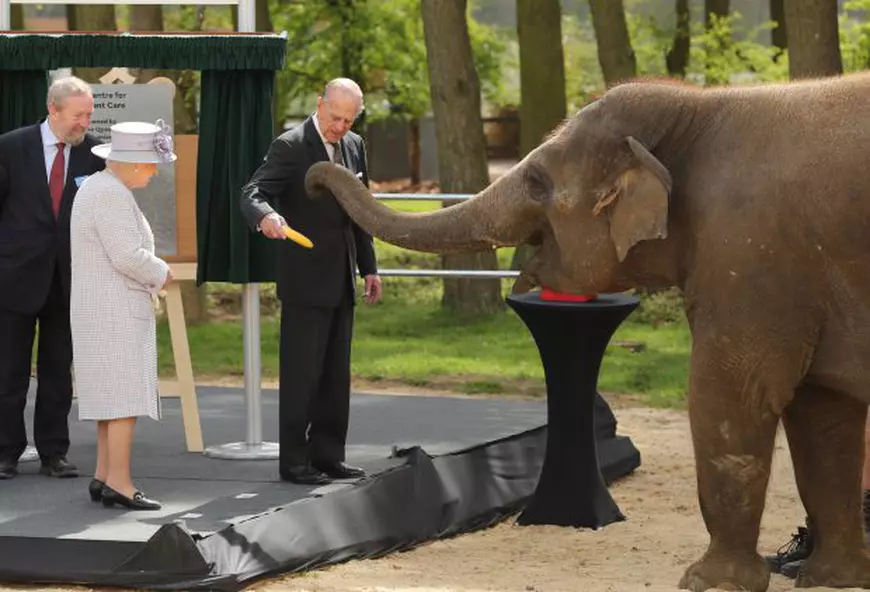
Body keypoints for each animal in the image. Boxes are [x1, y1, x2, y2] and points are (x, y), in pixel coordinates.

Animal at [304, 72, 870, 591]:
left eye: (537, 181)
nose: (311, 181)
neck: (701, 105)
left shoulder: (751, 261)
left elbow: (730, 397)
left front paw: (708, 583)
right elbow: (824, 417)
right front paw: (832, 579)